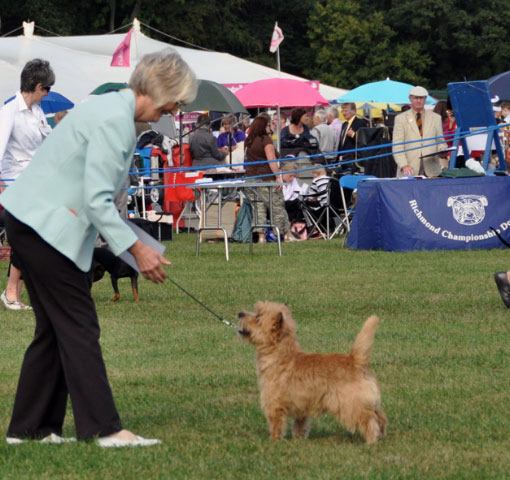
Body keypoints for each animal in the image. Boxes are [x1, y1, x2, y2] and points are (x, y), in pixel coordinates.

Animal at [238, 302, 386, 440]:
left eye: (257, 318)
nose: (240, 313)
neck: (280, 354)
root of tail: (355, 360)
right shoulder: (301, 405)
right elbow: (300, 424)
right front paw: (299, 438)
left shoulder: (274, 403)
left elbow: (276, 424)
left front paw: (274, 440)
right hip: (370, 401)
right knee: (381, 417)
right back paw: (381, 436)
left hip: (351, 404)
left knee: (369, 420)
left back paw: (371, 441)